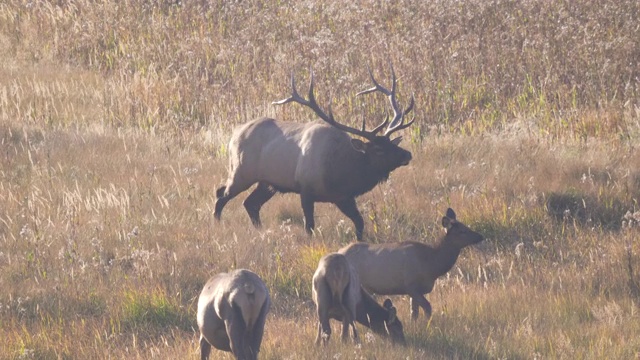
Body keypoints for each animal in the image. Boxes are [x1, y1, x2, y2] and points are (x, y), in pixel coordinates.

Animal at [212, 64, 418, 240]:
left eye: (392, 143)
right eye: (378, 149)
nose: (407, 154)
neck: (343, 171)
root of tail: (235, 132)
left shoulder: (343, 197)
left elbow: (360, 223)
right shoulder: (306, 189)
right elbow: (309, 226)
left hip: (267, 183)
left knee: (250, 203)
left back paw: (260, 230)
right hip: (241, 171)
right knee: (221, 195)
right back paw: (218, 225)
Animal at [340, 208, 480, 320]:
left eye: (465, 226)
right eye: (462, 231)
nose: (480, 236)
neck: (432, 266)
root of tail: (339, 251)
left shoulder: (413, 291)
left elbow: (414, 313)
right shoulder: (411, 285)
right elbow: (427, 308)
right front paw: (428, 325)